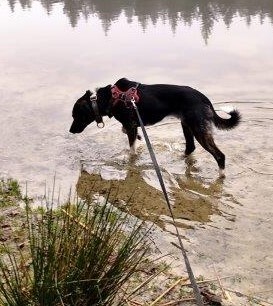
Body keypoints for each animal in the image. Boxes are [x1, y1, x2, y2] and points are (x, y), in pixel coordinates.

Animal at [70, 77, 240, 176]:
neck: (111, 98)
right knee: (190, 147)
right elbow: (129, 135)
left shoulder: (130, 125)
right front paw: (139, 138)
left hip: (198, 129)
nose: (70, 131)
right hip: (186, 125)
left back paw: (221, 176)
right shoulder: (132, 126)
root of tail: (204, 98)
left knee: (219, 155)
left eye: (75, 116)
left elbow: (131, 150)